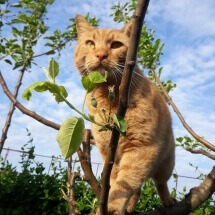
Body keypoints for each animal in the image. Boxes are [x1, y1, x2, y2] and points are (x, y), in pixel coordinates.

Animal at [74, 14, 175, 214]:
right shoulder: (108, 154)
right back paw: (129, 207)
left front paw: (112, 206)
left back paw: (167, 200)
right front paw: (109, 205)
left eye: (115, 45)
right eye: (90, 43)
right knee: (139, 189)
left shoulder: (142, 147)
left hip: (166, 164)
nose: (101, 54)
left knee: (160, 183)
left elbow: (125, 182)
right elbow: (115, 182)